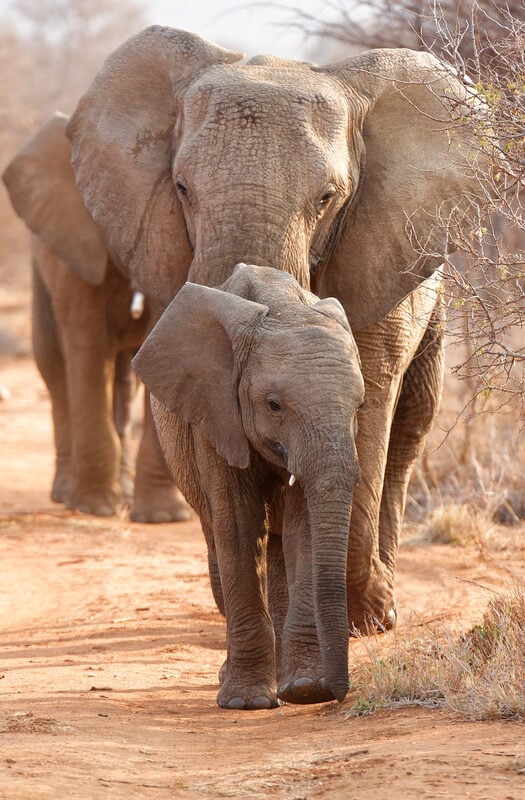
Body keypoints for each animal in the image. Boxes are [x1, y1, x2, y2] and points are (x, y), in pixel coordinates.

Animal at [1, 115, 190, 520]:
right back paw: (65, 492)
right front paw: (95, 507)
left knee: (123, 382)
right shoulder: (74, 241)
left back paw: (125, 491)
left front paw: (163, 517)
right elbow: (86, 346)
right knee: (54, 368)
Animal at [65, 29, 484, 632]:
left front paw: (365, 615)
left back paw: (377, 606)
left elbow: (370, 404)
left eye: (327, 198)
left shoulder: (379, 252)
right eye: (181, 187)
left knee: (410, 426)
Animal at [133, 262, 364, 708]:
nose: (338, 693)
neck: (284, 310)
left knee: (276, 544)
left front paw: (306, 689)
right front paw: (247, 701)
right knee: (219, 537)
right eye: (274, 405)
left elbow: (304, 529)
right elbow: (239, 527)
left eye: (359, 406)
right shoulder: (215, 410)